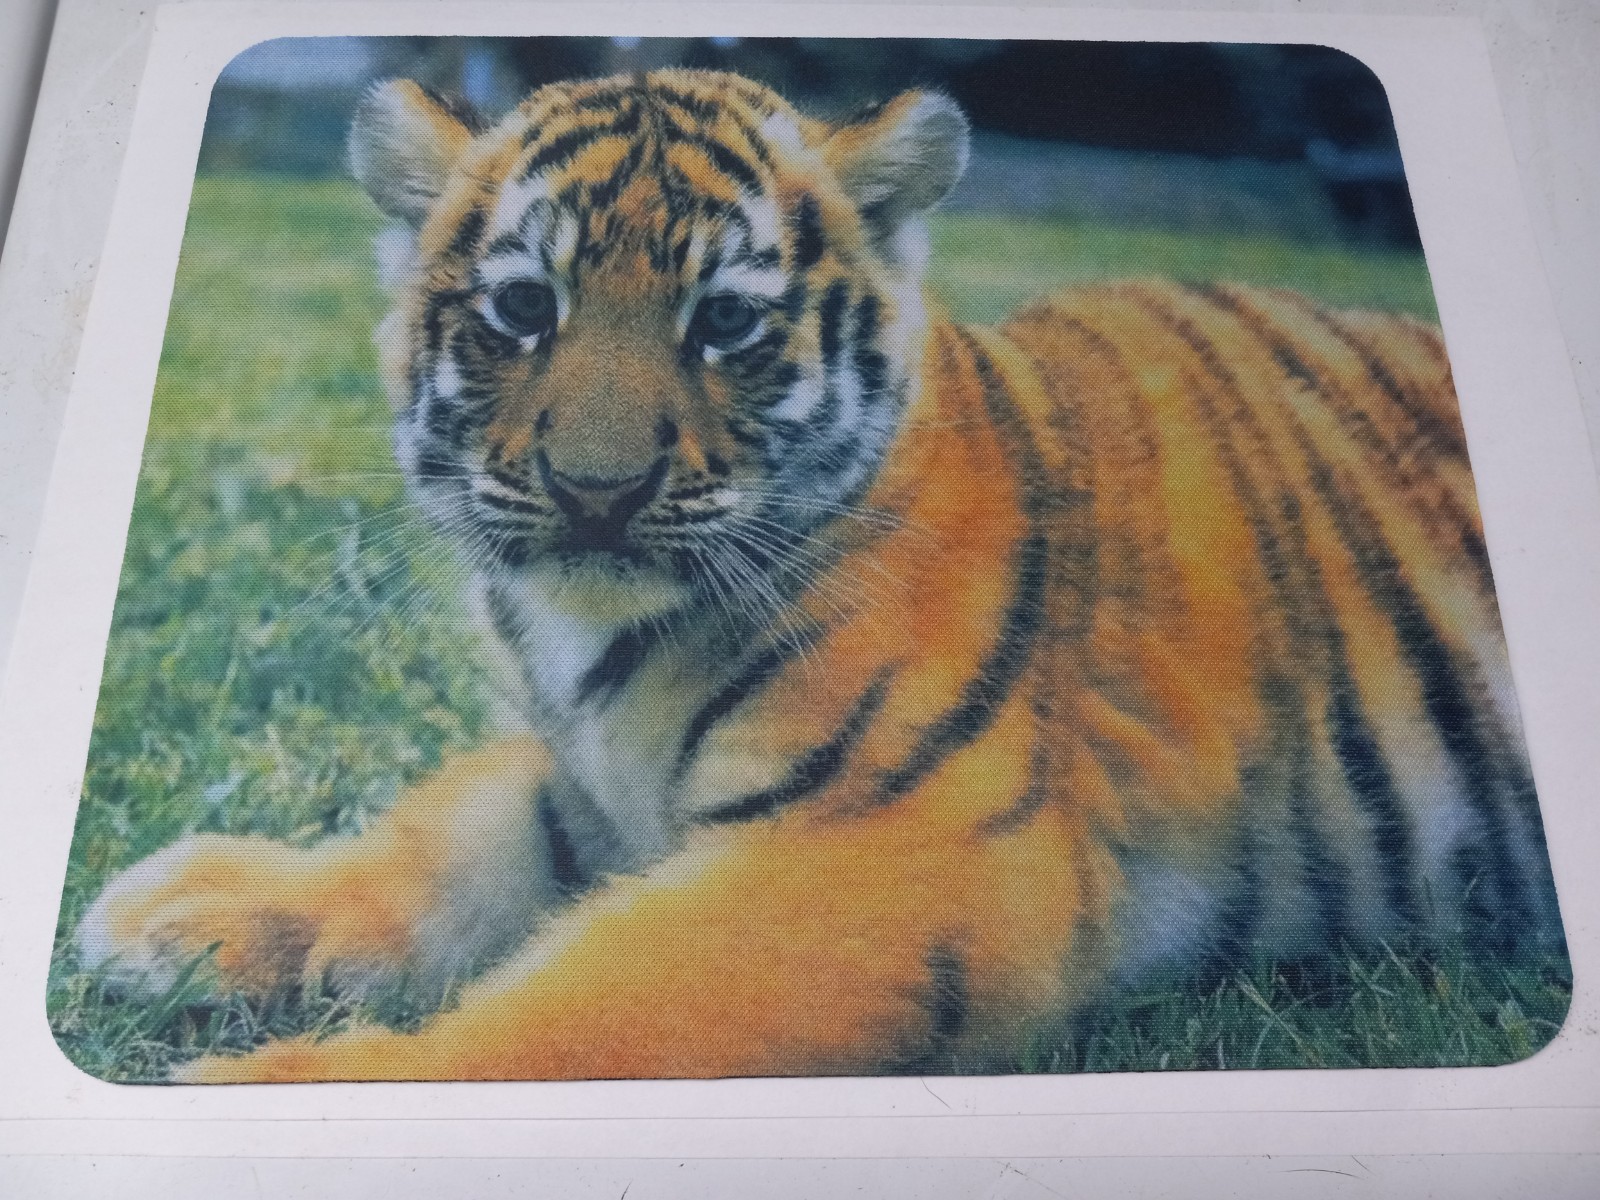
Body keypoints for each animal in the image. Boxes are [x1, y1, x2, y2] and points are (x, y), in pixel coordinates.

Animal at [76, 67, 1564, 1082]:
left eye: (725, 323)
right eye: (523, 308)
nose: (598, 490)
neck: (599, 646)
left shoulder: (890, 850)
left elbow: (582, 1009)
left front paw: (286, 1087)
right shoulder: (587, 782)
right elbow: (449, 833)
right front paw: (195, 913)